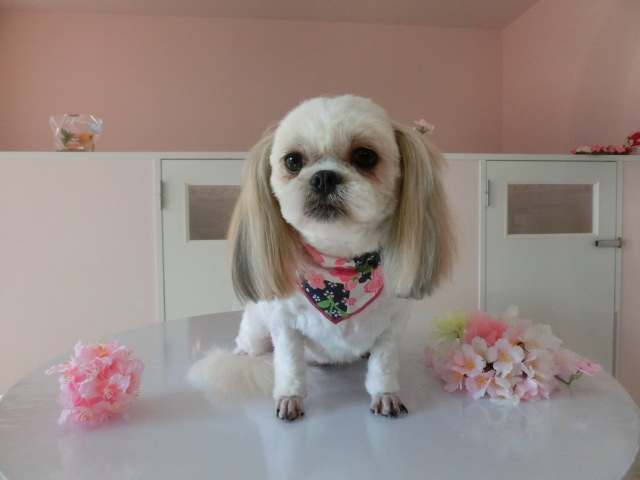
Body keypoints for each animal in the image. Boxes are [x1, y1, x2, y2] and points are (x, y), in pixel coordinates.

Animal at [190, 95, 454, 421]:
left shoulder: (391, 327)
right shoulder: (285, 326)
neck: (340, 268)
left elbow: (383, 366)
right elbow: (290, 366)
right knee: (248, 344)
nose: (324, 177)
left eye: (365, 156)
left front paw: (385, 395)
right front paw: (290, 399)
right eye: (292, 161)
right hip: (256, 326)